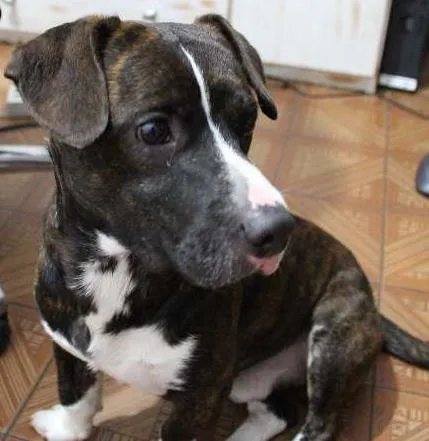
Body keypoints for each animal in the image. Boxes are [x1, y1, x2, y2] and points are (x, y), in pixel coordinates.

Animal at [5, 14, 429, 441]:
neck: (117, 273)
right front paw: (66, 427)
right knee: (276, 411)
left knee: (317, 424)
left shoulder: (201, 395)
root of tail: (373, 307)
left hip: (332, 341)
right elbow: (76, 394)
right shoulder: (66, 345)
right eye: (153, 130)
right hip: (250, 381)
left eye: (248, 121)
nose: (280, 231)